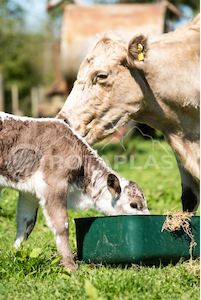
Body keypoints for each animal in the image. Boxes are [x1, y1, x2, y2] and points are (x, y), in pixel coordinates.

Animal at [0, 112, 149, 272]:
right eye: (134, 205)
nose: (149, 218)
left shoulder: (29, 192)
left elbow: (26, 224)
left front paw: (15, 254)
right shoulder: (53, 184)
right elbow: (61, 224)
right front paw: (70, 266)